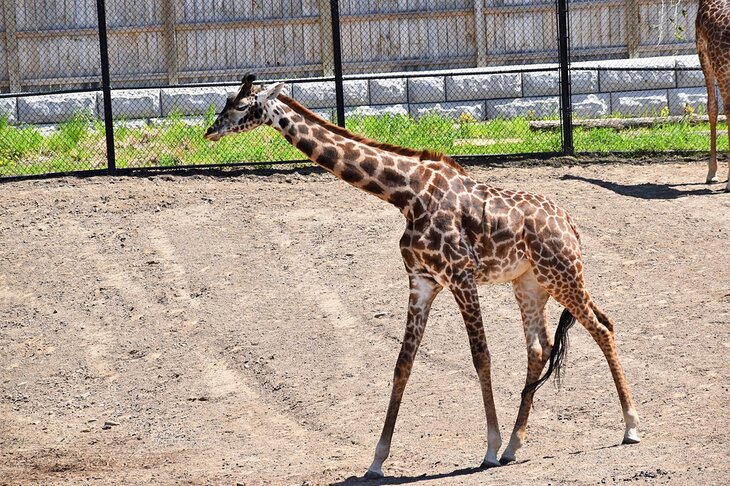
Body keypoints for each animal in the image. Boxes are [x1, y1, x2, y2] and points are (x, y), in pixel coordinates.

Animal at [202, 76, 640, 478]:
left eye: (240, 105)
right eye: (226, 101)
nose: (210, 131)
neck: (406, 195)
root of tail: (570, 224)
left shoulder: (460, 275)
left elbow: (481, 356)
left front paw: (488, 447)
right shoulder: (422, 280)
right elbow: (403, 363)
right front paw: (377, 460)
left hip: (561, 274)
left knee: (602, 327)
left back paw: (631, 428)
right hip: (530, 284)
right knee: (541, 348)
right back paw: (516, 446)